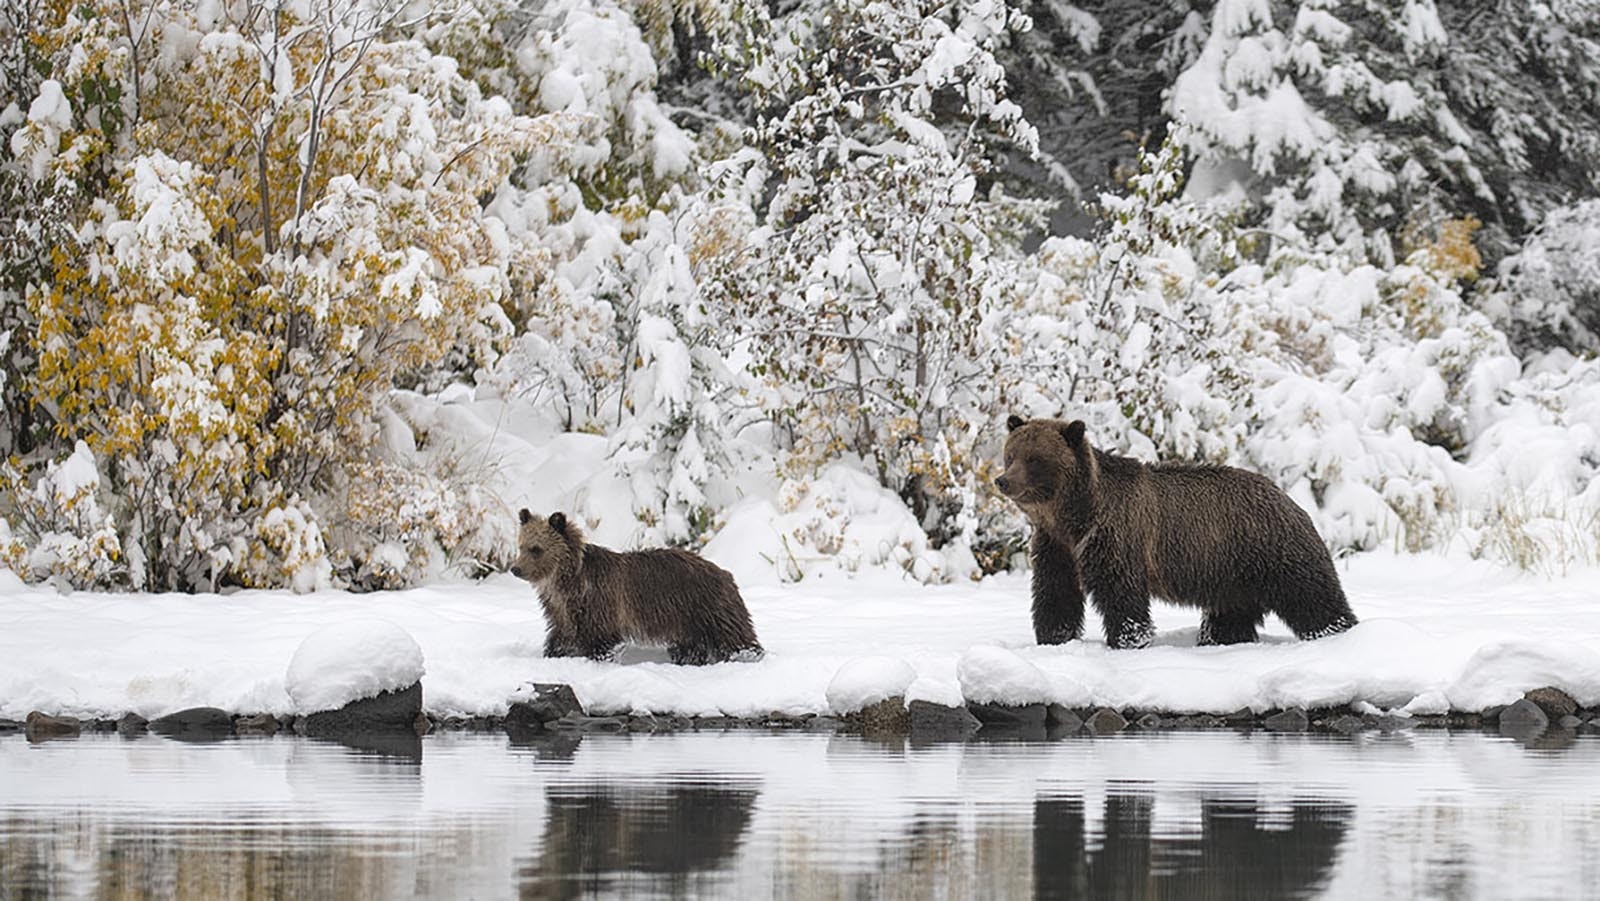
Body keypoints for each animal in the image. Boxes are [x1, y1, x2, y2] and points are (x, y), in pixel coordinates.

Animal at [512, 512, 761, 665]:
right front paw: (553, 654)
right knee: (691, 648)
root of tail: (725, 573)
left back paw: (748, 655)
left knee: (735, 638)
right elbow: (561, 638)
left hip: (707, 609)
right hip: (687, 623)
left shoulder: (599, 603)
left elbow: (600, 642)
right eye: (521, 546)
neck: (565, 583)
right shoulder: (561, 611)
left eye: (536, 549)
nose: (515, 569)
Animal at [992, 416, 1356, 649]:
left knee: (1312, 596)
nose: (1003, 480)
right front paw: (1054, 638)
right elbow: (1056, 592)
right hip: (1233, 574)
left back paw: (1339, 632)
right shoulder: (1057, 545)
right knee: (1231, 615)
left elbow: (1120, 593)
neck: (1073, 515)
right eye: (1011, 454)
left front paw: (1128, 640)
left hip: (1271, 549)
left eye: (1035, 459)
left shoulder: (1115, 535)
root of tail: (1290, 499)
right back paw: (1219, 640)